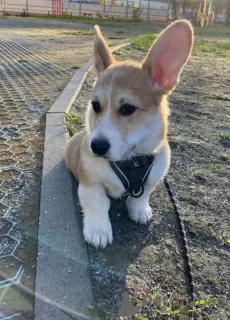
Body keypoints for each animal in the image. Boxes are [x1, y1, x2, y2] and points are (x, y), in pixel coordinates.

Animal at [65, 21, 194, 249]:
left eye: (127, 109)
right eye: (95, 105)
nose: (96, 146)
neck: (130, 161)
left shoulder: (153, 176)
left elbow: (141, 196)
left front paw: (140, 210)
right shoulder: (90, 181)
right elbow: (97, 204)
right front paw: (98, 231)